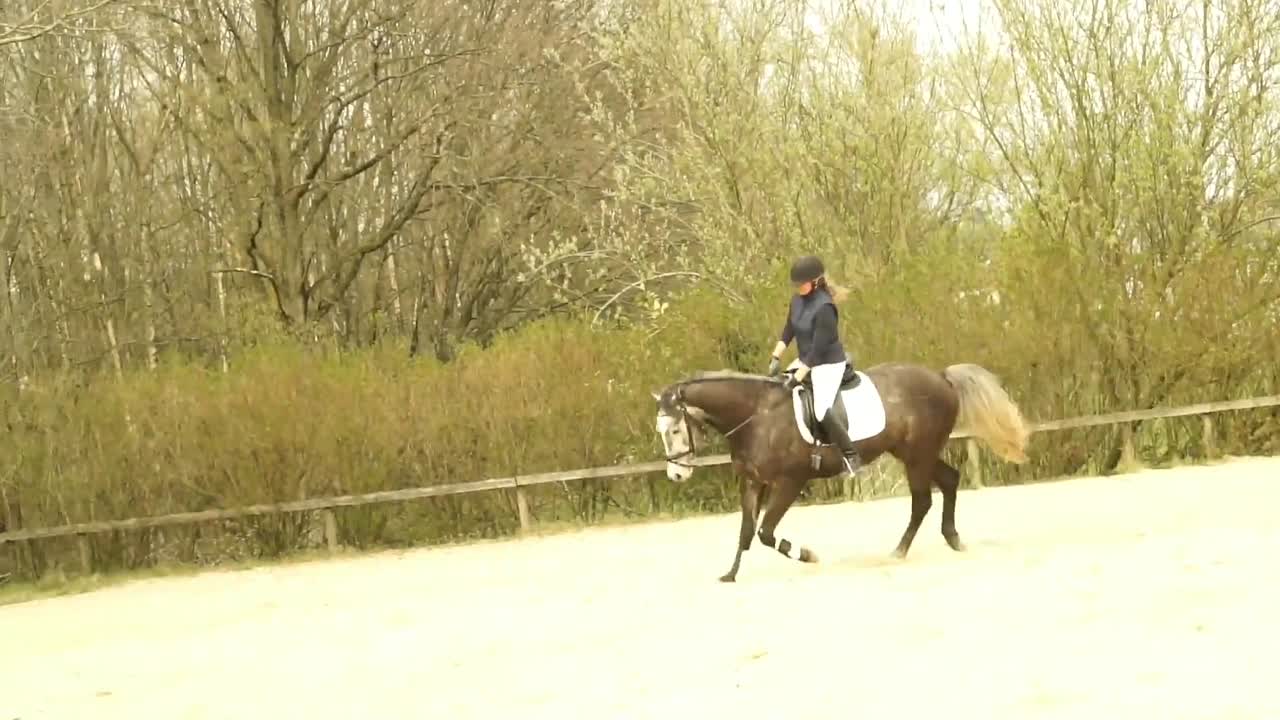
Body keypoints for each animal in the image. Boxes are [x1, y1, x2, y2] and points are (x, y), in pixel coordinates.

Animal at [652, 360, 1030, 582]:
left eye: (676, 429)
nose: (676, 476)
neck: (757, 415)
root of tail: (942, 378)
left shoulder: (789, 482)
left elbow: (766, 533)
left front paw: (807, 555)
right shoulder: (753, 482)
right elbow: (746, 532)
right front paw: (729, 575)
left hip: (917, 456)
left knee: (922, 500)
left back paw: (899, 551)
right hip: (914, 453)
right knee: (948, 481)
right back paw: (951, 539)